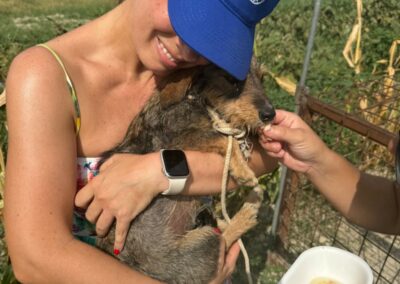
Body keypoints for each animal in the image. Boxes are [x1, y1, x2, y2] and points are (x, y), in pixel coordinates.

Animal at [97, 62, 276, 284]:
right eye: (231, 80)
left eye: (263, 78)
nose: (271, 115)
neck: (197, 99)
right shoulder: (178, 139)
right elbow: (224, 139)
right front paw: (244, 171)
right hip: (205, 241)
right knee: (223, 242)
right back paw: (246, 213)